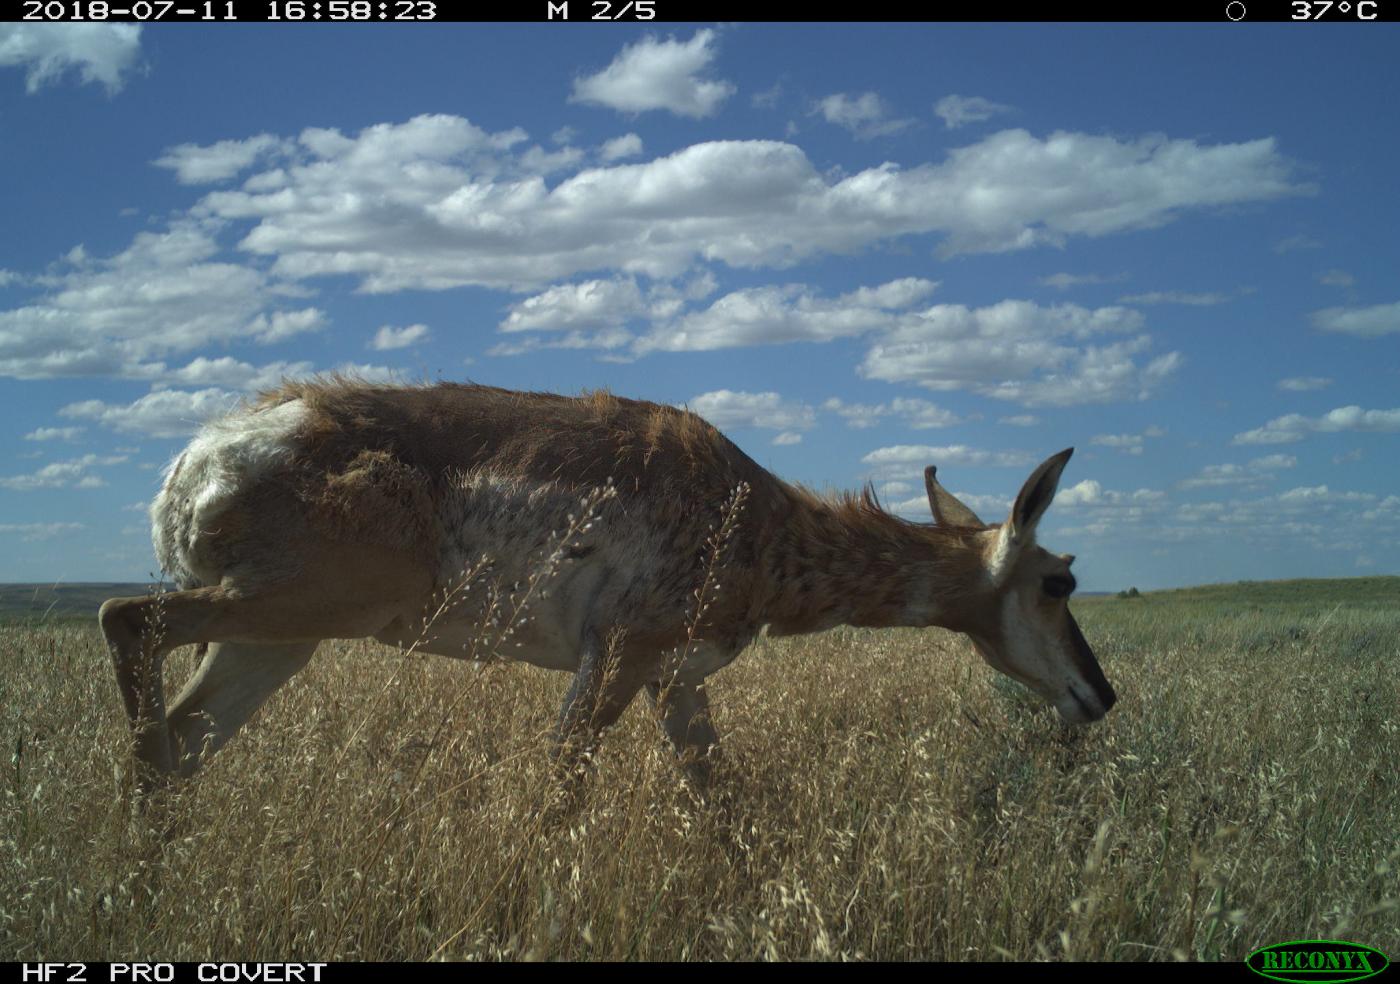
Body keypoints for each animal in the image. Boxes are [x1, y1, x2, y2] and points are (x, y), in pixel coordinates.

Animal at [101, 380, 1114, 795]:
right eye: (1059, 580)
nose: (1101, 696)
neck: (755, 517)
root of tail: (200, 457)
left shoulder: (676, 684)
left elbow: (723, 800)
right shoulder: (618, 662)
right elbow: (563, 790)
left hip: (273, 645)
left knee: (178, 743)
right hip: (301, 610)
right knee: (126, 621)